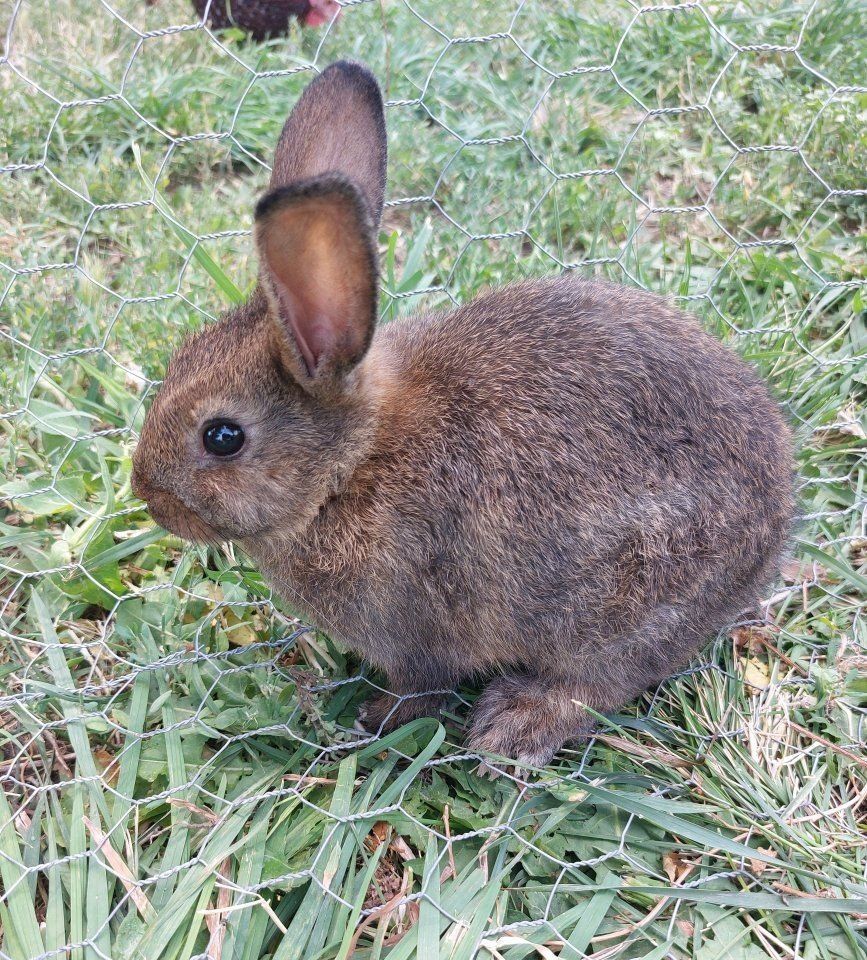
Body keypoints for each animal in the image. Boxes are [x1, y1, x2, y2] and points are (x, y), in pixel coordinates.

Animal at [131, 60, 795, 768]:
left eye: (222, 436)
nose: (148, 494)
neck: (349, 468)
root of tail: (776, 520)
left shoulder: (416, 634)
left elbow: (422, 691)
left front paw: (373, 722)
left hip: (631, 597)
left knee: (604, 681)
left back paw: (514, 724)